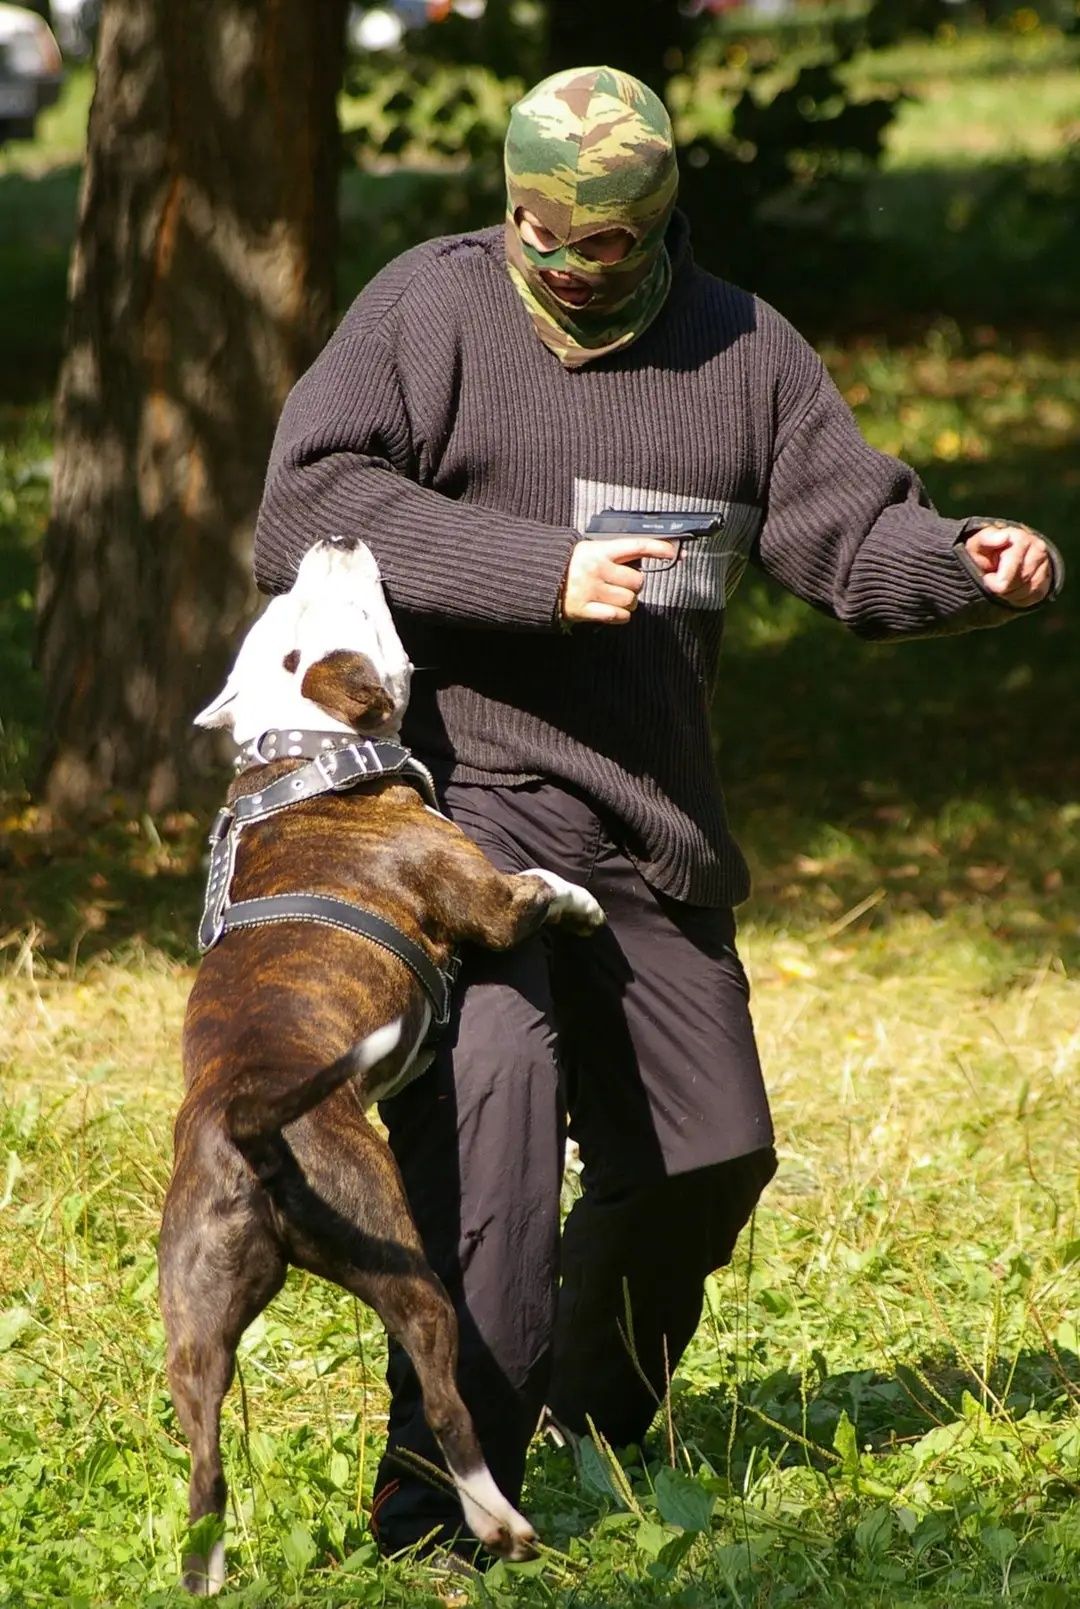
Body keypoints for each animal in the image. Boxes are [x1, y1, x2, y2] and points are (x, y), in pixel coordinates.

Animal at [158, 543, 608, 1596]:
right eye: (354, 614)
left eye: (292, 605)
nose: (335, 543)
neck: (308, 759)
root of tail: (247, 1127)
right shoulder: (481, 899)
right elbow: (531, 892)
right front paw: (579, 900)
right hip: (403, 1260)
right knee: (445, 1405)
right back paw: (500, 1524)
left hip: (192, 1321)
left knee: (204, 1465)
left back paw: (207, 1574)